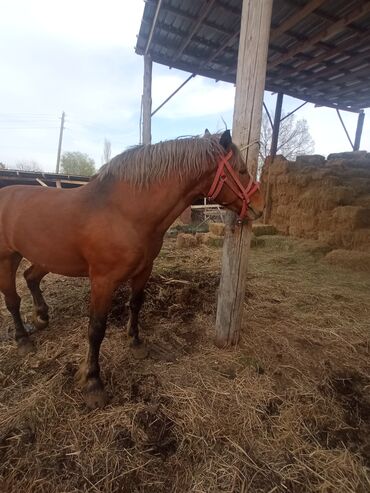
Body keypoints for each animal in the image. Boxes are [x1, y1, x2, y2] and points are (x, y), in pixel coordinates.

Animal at [0, 129, 264, 406]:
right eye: (242, 170)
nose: (260, 205)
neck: (124, 212)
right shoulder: (103, 280)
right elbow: (96, 328)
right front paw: (93, 382)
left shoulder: (144, 270)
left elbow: (136, 304)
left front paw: (135, 343)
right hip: (8, 259)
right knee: (12, 301)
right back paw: (23, 339)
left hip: (47, 258)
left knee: (30, 277)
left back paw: (41, 316)